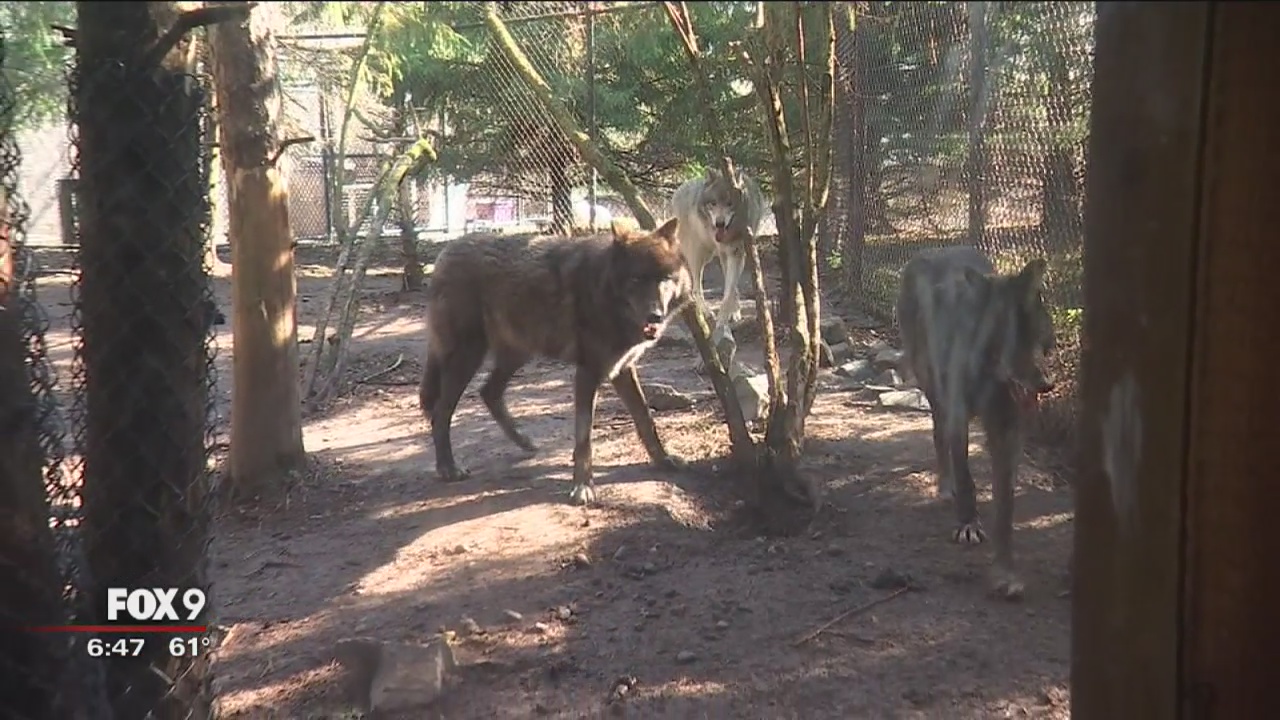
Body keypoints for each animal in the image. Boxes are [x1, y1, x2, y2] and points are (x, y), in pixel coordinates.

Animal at [418, 217, 694, 505]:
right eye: (636, 278)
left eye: (665, 279)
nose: (655, 316)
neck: (601, 289)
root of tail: (447, 251)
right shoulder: (588, 372)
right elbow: (584, 438)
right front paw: (582, 487)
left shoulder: (622, 369)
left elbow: (645, 418)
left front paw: (663, 460)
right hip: (469, 357)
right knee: (441, 412)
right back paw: (448, 468)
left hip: (518, 353)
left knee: (488, 392)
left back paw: (524, 442)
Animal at [670, 165, 767, 331]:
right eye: (713, 203)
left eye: (729, 203)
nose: (719, 223)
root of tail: (679, 190)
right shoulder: (724, 253)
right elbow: (728, 290)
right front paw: (722, 323)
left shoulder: (735, 254)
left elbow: (730, 290)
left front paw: (732, 314)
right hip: (698, 254)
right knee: (695, 287)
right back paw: (706, 312)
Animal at [895, 245, 1056, 600]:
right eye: (1013, 341)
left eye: (1041, 341)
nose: (1047, 386)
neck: (990, 375)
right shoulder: (959, 415)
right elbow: (967, 477)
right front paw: (968, 525)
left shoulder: (1007, 431)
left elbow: (1006, 506)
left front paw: (1006, 573)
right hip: (935, 392)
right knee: (938, 436)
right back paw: (945, 487)